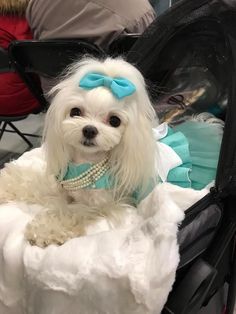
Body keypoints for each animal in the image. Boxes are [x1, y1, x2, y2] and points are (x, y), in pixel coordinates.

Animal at [0, 57, 159, 247]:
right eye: (75, 111)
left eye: (115, 121)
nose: (89, 130)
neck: (85, 162)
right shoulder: (58, 188)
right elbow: (31, 183)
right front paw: (4, 185)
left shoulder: (103, 205)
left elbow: (74, 211)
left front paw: (45, 229)